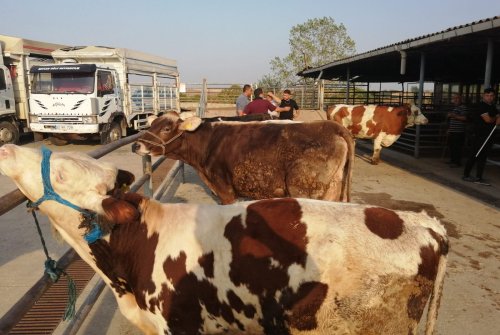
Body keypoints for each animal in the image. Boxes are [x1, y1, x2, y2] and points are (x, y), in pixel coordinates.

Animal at [134, 112, 356, 205]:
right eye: (151, 125)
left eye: (166, 128)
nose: (136, 145)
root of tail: (331, 126)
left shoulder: (225, 191)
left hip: (305, 190)